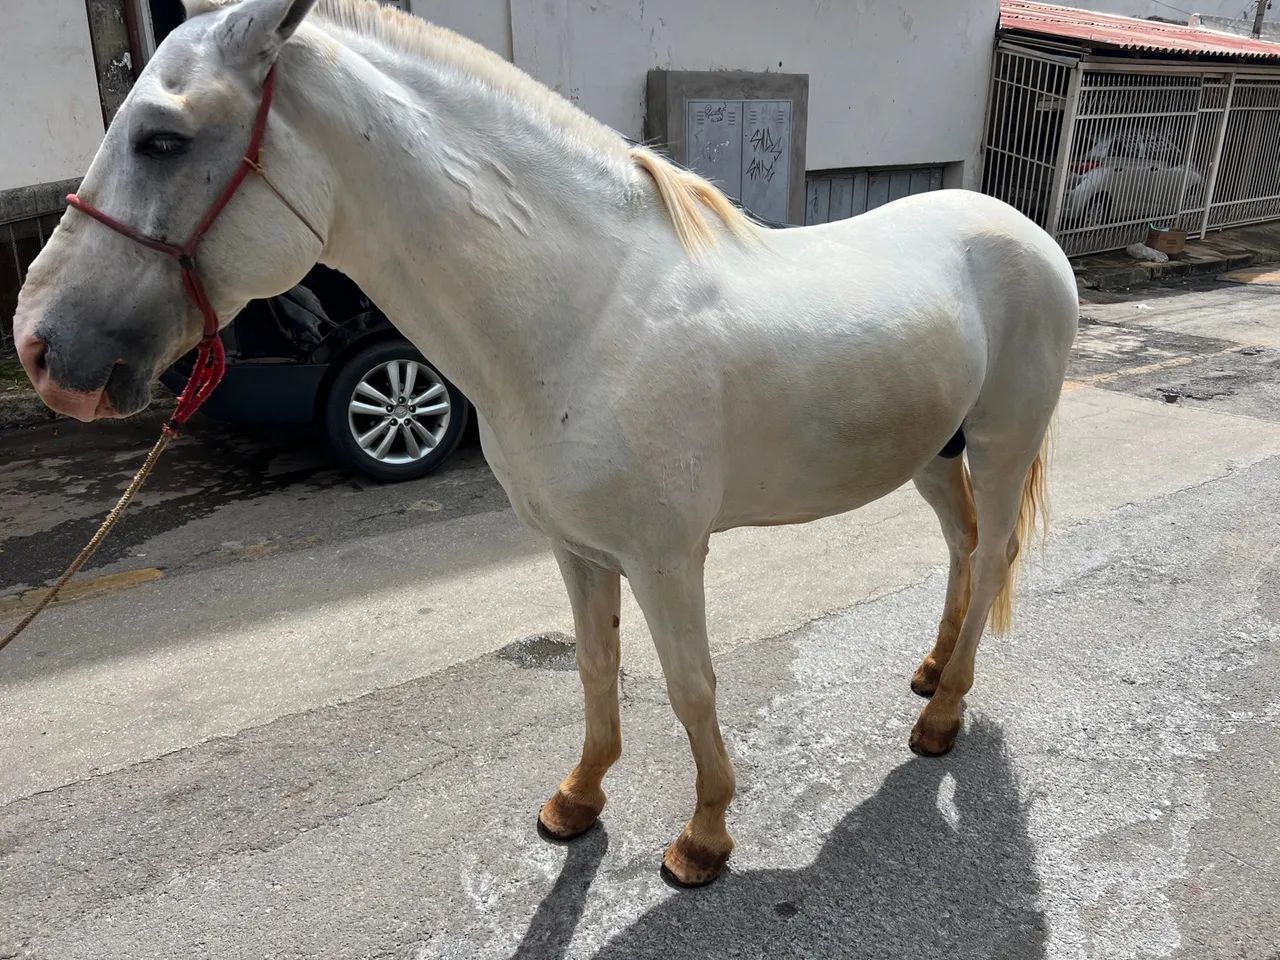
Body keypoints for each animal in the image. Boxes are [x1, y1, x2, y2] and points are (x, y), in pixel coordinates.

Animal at [12, 0, 1078, 887]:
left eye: (162, 137)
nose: (42, 347)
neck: (586, 314)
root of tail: (1024, 229)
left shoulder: (665, 558)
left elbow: (690, 686)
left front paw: (704, 839)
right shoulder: (578, 548)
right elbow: (597, 670)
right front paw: (577, 799)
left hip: (1001, 443)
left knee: (991, 559)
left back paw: (941, 718)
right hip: (934, 454)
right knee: (963, 547)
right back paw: (933, 675)